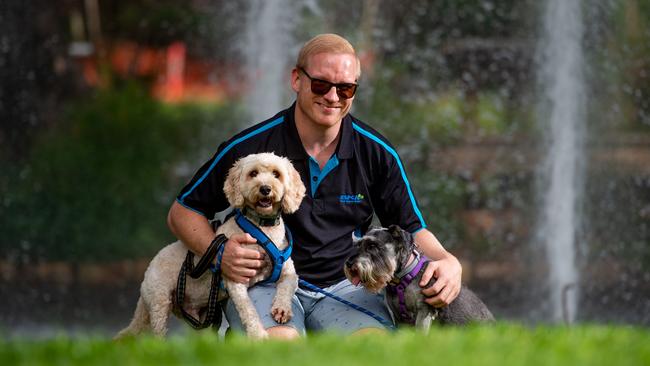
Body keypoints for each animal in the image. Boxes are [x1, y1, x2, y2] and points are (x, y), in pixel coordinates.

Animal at [116, 153, 304, 338]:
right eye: (253, 173)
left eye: (276, 174)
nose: (265, 189)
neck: (261, 227)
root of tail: (146, 275)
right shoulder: (236, 280)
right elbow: (248, 310)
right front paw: (258, 334)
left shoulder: (288, 272)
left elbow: (287, 286)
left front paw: (282, 309)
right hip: (159, 302)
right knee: (158, 333)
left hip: (200, 316)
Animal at [344, 224, 492, 334]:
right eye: (358, 245)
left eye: (373, 246)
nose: (349, 263)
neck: (402, 279)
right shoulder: (398, 316)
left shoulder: (424, 311)